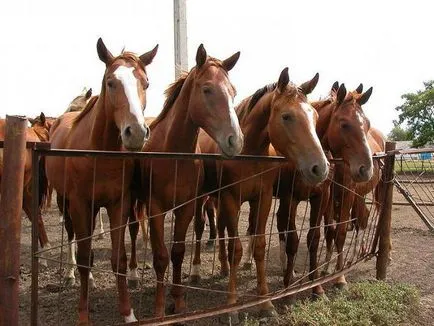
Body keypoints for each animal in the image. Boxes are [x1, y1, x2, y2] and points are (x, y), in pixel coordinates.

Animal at [45, 38, 158, 324]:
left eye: (146, 83)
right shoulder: (79, 204)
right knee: (72, 238)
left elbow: (119, 259)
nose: (136, 132)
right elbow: (85, 256)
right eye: (110, 82)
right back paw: (71, 275)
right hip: (65, 202)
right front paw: (83, 315)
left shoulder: (119, 204)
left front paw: (128, 313)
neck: (99, 153)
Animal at [135, 44, 241, 318]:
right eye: (207, 89)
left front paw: (179, 301)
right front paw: (159, 308)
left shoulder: (186, 208)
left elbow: (177, 252)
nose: (235, 140)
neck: (173, 154)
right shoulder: (155, 208)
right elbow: (161, 256)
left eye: (233, 91)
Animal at [193, 67, 328, 320]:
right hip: (204, 198)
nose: (320, 168)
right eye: (286, 116)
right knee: (200, 228)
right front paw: (232, 306)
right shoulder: (231, 198)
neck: (249, 153)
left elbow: (259, 246)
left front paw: (265, 303)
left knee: (224, 229)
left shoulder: (262, 199)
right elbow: (236, 249)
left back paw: (224, 267)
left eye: (315, 116)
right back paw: (196, 271)